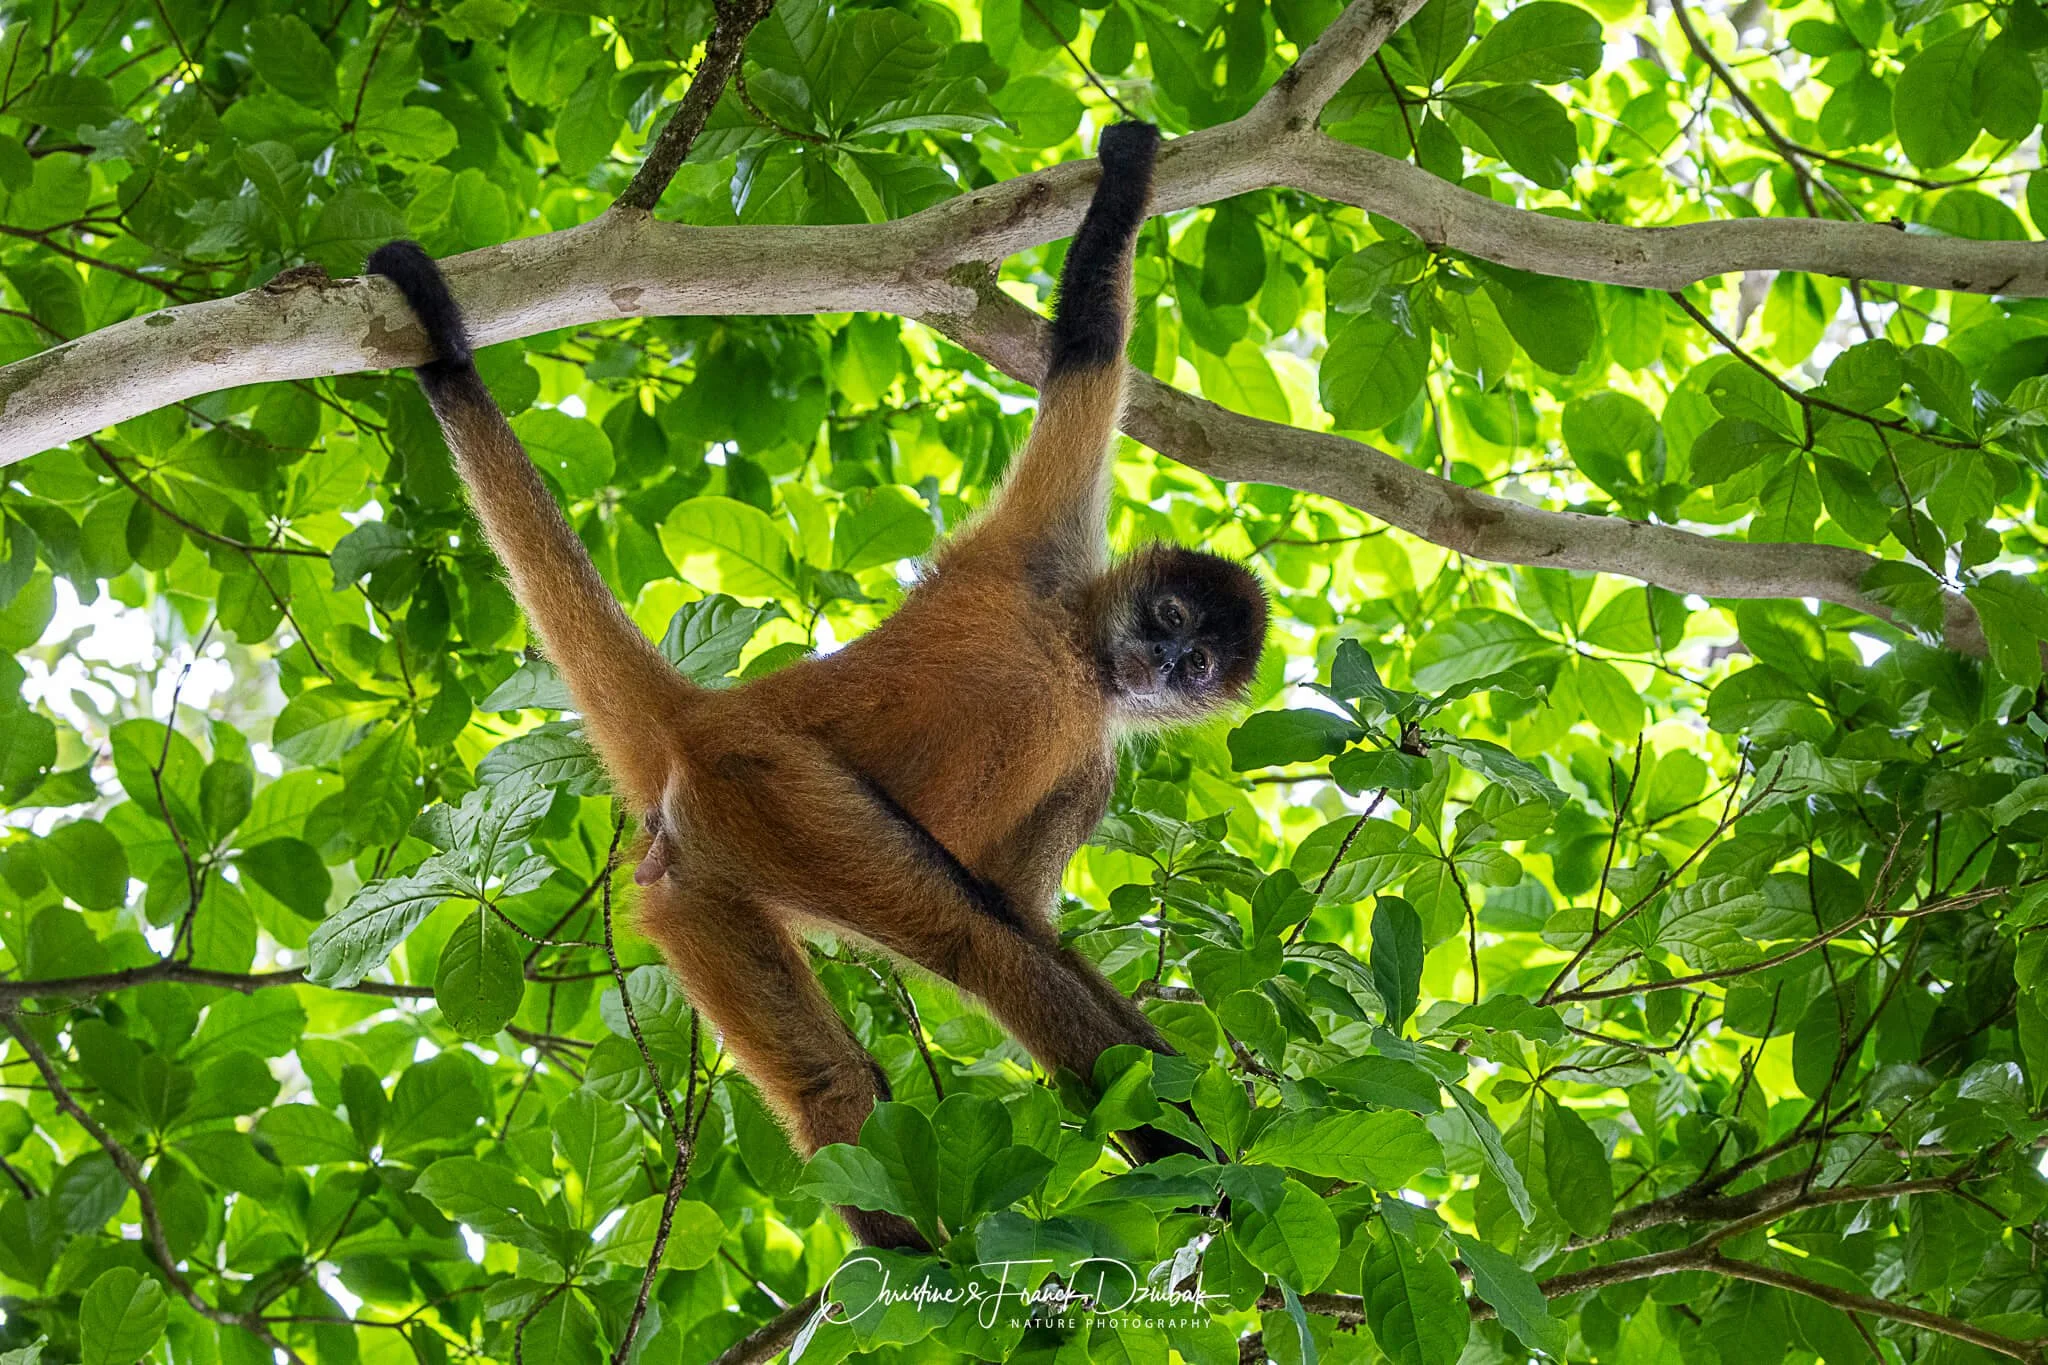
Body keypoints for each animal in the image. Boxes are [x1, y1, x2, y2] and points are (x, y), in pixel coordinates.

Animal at [366, 122, 1267, 1250]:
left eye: (1199, 666)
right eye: (1173, 618)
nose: (1162, 666)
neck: (1074, 661)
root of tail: (706, 717)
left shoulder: (1093, 769)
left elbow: (1031, 918)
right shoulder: (1028, 558)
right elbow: (1089, 348)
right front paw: (1129, 171)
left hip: (696, 875)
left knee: (838, 1073)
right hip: (777, 787)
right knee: (975, 942)